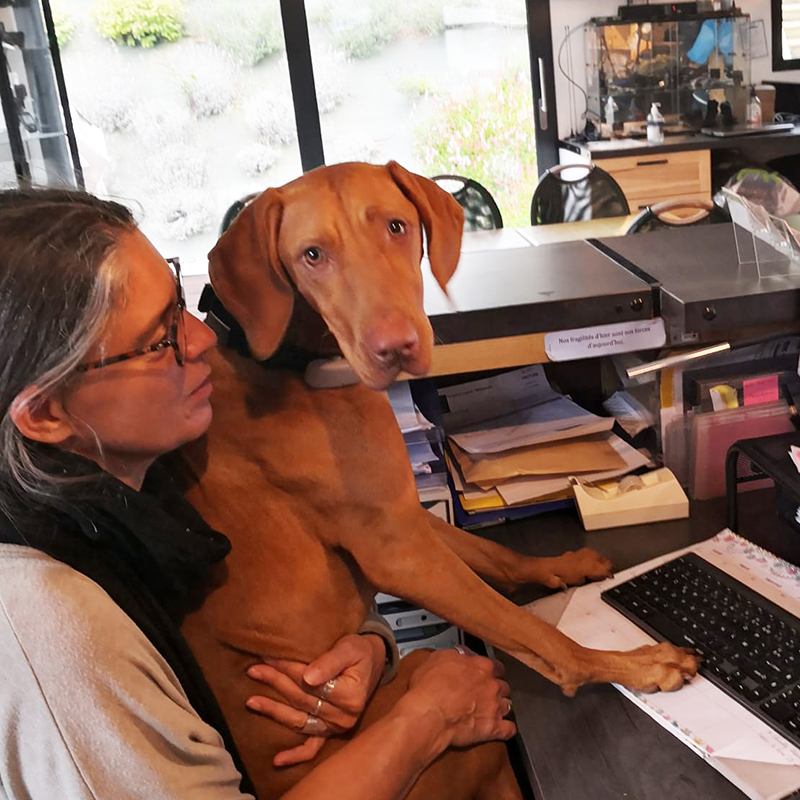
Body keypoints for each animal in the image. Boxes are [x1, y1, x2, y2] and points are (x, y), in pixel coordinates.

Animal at [173, 162, 692, 800]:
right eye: (311, 255)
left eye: (396, 227)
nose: (395, 348)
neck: (288, 364)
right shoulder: (397, 552)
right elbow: (531, 631)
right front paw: (637, 665)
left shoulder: (405, 517)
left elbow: (492, 554)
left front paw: (559, 568)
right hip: (463, 758)